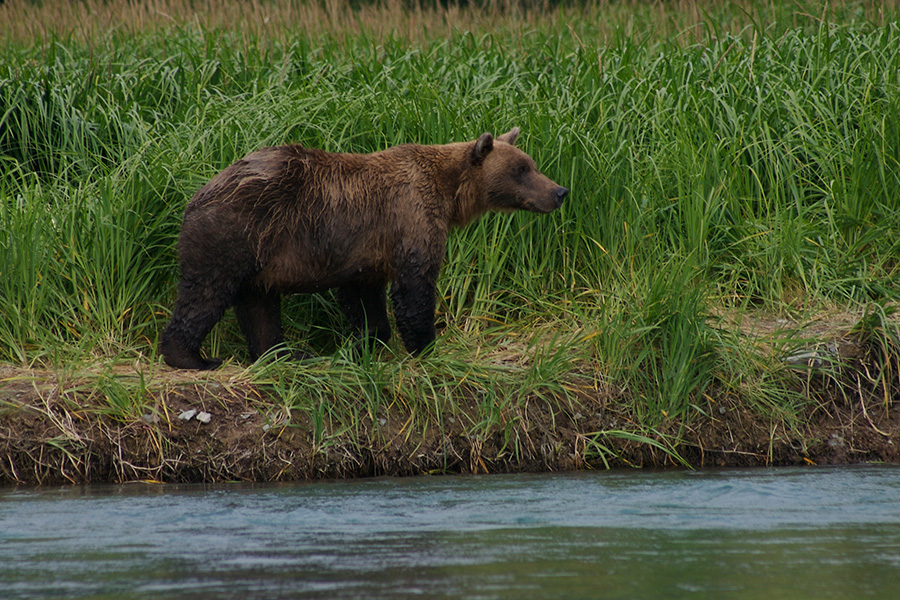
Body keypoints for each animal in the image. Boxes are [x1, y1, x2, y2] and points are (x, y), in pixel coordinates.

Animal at [160, 127, 568, 370]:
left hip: (260, 256)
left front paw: (365, 343)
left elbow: (364, 298)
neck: (450, 193)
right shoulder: (411, 217)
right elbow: (415, 286)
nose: (560, 191)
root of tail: (198, 194)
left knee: (258, 305)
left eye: (531, 164)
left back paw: (286, 353)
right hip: (236, 232)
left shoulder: (368, 249)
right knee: (207, 292)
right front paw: (426, 346)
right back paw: (193, 358)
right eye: (522, 169)